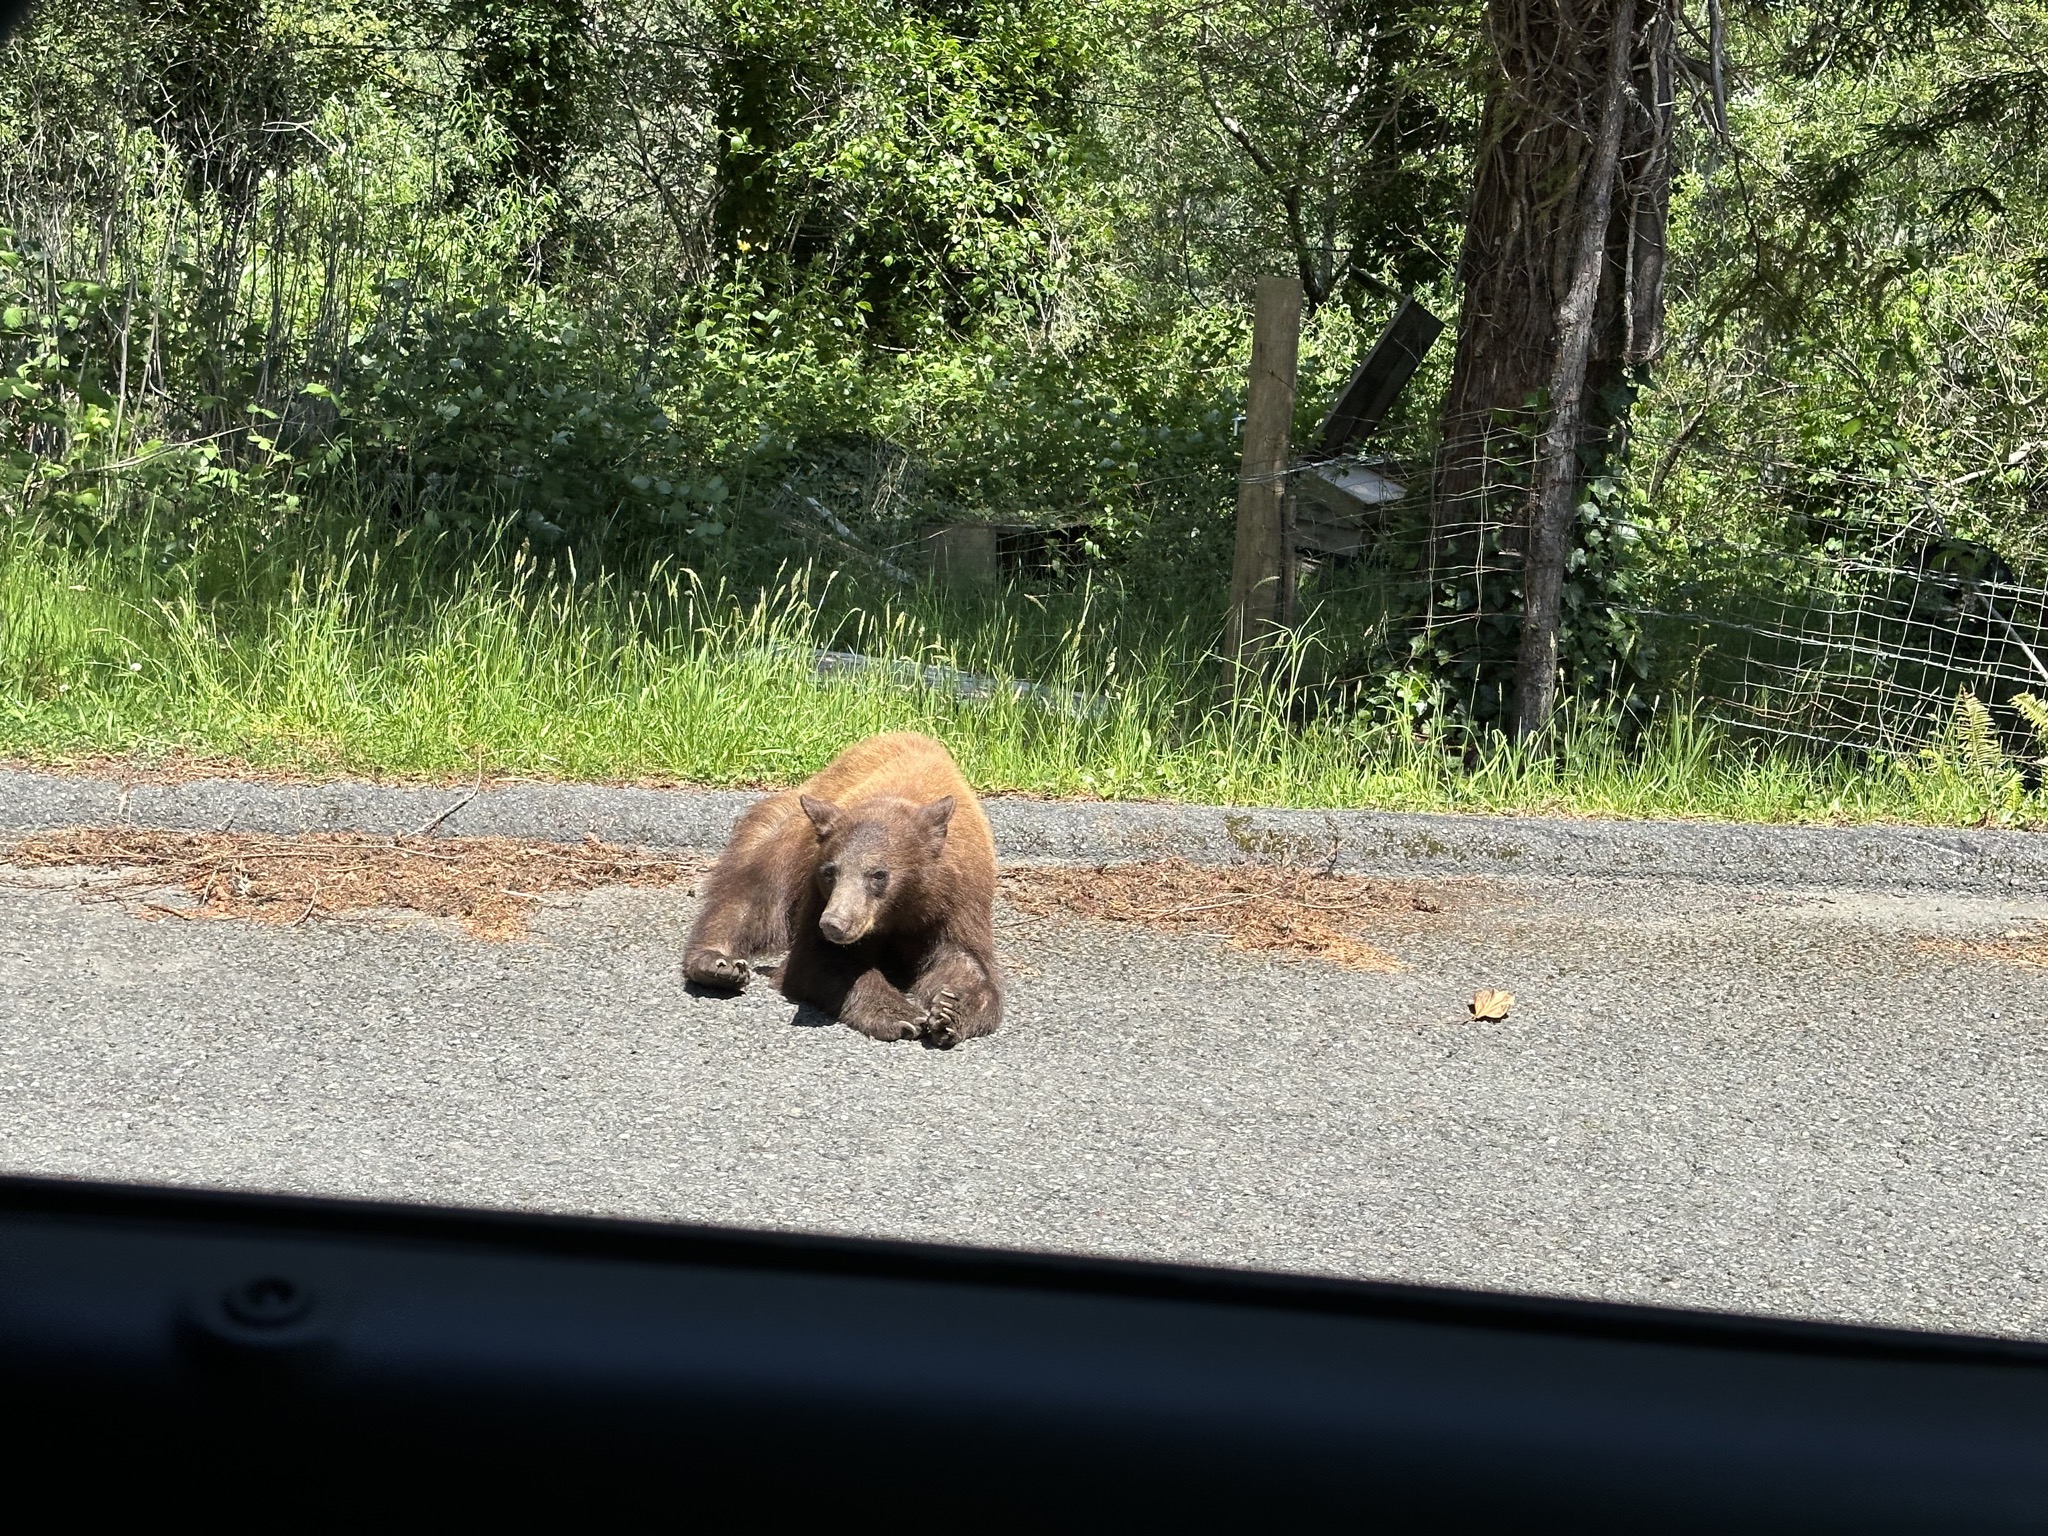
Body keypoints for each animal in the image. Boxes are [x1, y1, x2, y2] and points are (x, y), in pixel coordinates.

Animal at [682, 732, 1003, 1047]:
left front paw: (950, 1010)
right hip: (779, 836)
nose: (834, 923)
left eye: (878, 874)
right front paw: (899, 1014)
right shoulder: (816, 892)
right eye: (830, 871)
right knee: (747, 898)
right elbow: (820, 959)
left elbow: (962, 960)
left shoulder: (957, 900)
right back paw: (719, 963)